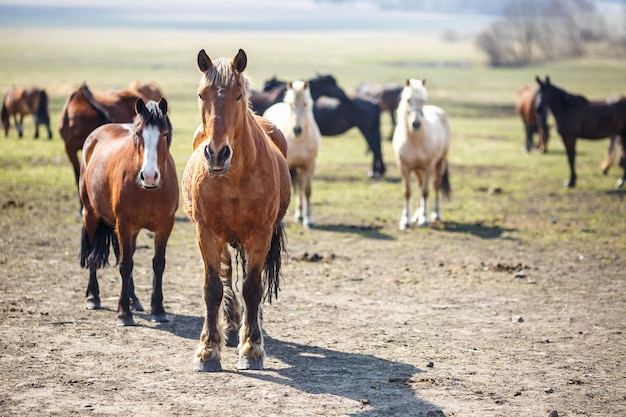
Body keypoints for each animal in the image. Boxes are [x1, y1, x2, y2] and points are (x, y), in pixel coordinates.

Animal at [78, 97, 177, 324]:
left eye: (164, 133)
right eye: (139, 133)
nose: (149, 176)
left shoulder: (165, 226)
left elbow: (158, 264)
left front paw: (158, 310)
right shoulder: (123, 225)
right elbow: (125, 265)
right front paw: (123, 313)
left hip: (133, 230)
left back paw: (134, 299)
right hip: (90, 214)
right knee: (92, 255)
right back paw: (93, 297)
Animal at [180, 48, 290, 370]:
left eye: (238, 95)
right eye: (201, 94)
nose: (217, 154)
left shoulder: (260, 234)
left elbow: (253, 287)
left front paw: (252, 348)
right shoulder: (206, 233)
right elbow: (213, 288)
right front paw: (208, 350)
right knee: (227, 274)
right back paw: (229, 327)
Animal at [264, 79, 322, 226]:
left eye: (305, 104)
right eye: (291, 105)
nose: (297, 130)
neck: (299, 140)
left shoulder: (308, 166)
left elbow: (307, 191)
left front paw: (308, 219)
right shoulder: (288, 165)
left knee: (300, 187)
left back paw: (300, 214)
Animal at [390, 77, 448, 228]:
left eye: (423, 100)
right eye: (408, 100)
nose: (416, 124)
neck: (414, 140)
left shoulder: (428, 168)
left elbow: (425, 192)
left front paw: (424, 219)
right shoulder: (404, 168)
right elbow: (407, 192)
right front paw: (405, 220)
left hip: (439, 164)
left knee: (435, 185)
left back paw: (435, 213)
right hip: (418, 170)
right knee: (419, 186)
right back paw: (416, 215)